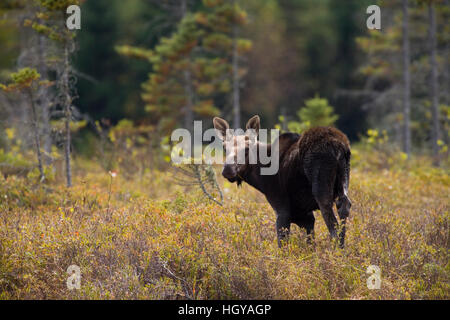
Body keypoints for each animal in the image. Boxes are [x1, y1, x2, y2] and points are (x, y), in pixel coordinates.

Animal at [214, 115, 352, 248]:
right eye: (224, 148)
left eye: (247, 149)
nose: (228, 169)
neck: (260, 177)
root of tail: (339, 145)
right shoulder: (305, 215)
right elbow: (310, 243)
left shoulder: (281, 206)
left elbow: (282, 242)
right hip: (343, 180)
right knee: (344, 205)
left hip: (321, 186)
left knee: (331, 222)